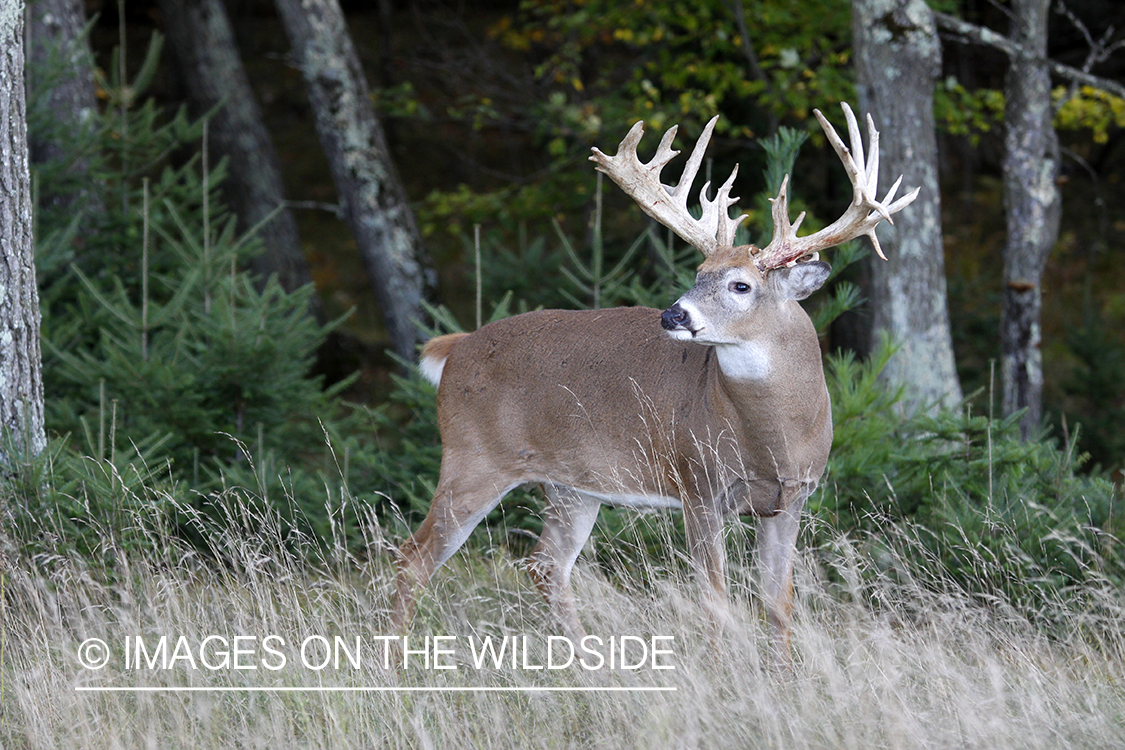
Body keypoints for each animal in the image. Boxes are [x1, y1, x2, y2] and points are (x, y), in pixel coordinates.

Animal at [391, 104, 918, 661]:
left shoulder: (793, 496)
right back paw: (398, 661)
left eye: (741, 285)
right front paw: (724, 670)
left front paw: (785, 673)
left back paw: (589, 663)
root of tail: (456, 349)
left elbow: (778, 603)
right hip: (473, 457)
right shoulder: (698, 482)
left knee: (544, 563)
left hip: (571, 484)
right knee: (413, 557)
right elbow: (716, 600)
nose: (673, 314)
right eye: (698, 272)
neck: (772, 436)